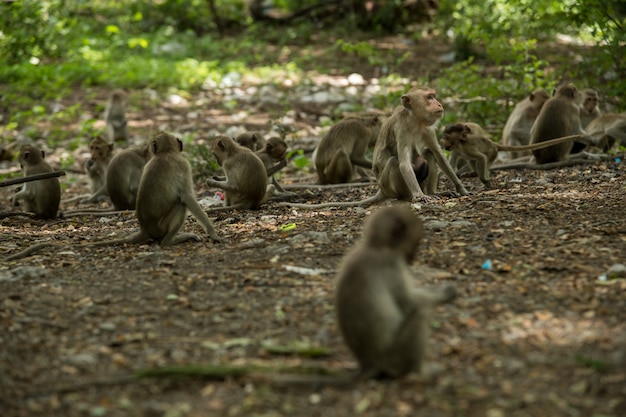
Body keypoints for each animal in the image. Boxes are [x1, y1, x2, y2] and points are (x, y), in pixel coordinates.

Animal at [336, 203, 454, 378]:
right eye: (415, 244)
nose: (412, 259)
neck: (377, 246)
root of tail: (368, 364)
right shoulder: (392, 264)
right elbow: (408, 303)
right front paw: (445, 292)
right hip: (394, 355)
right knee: (421, 313)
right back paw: (420, 372)